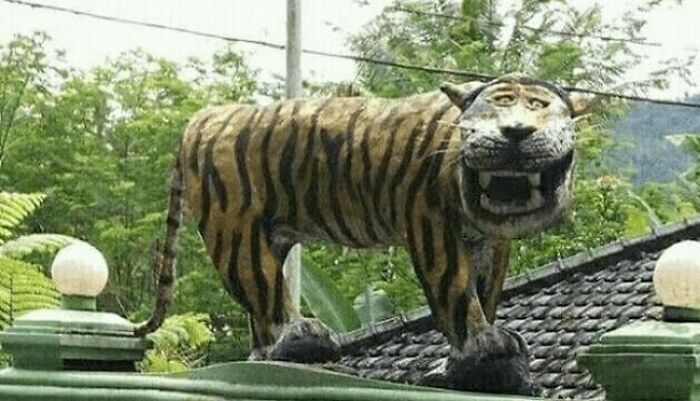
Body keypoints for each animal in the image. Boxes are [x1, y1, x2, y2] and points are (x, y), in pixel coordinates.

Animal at [136, 73, 593, 394]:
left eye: (537, 106)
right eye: (498, 107)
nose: (515, 132)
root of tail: (200, 118)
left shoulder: (490, 242)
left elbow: (484, 294)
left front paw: (457, 368)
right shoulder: (432, 227)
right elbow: (457, 294)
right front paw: (485, 347)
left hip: (266, 237)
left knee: (261, 311)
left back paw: (282, 349)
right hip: (236, 232)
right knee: (263, 296)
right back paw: (301, 340)